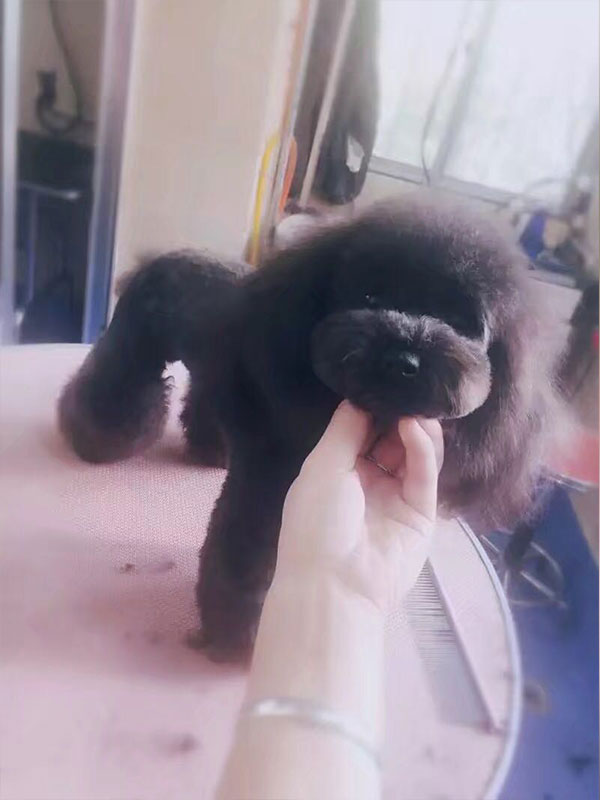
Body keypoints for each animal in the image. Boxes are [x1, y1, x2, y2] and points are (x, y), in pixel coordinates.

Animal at [58, 197, 560, 661]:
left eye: (459, 322)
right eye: (369, 297)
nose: (403, 360)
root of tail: (162, 256)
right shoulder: (265, 493)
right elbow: (244, 563)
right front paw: (238, 635)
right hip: (134, 343)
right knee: (113, 383)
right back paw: (93, 437)